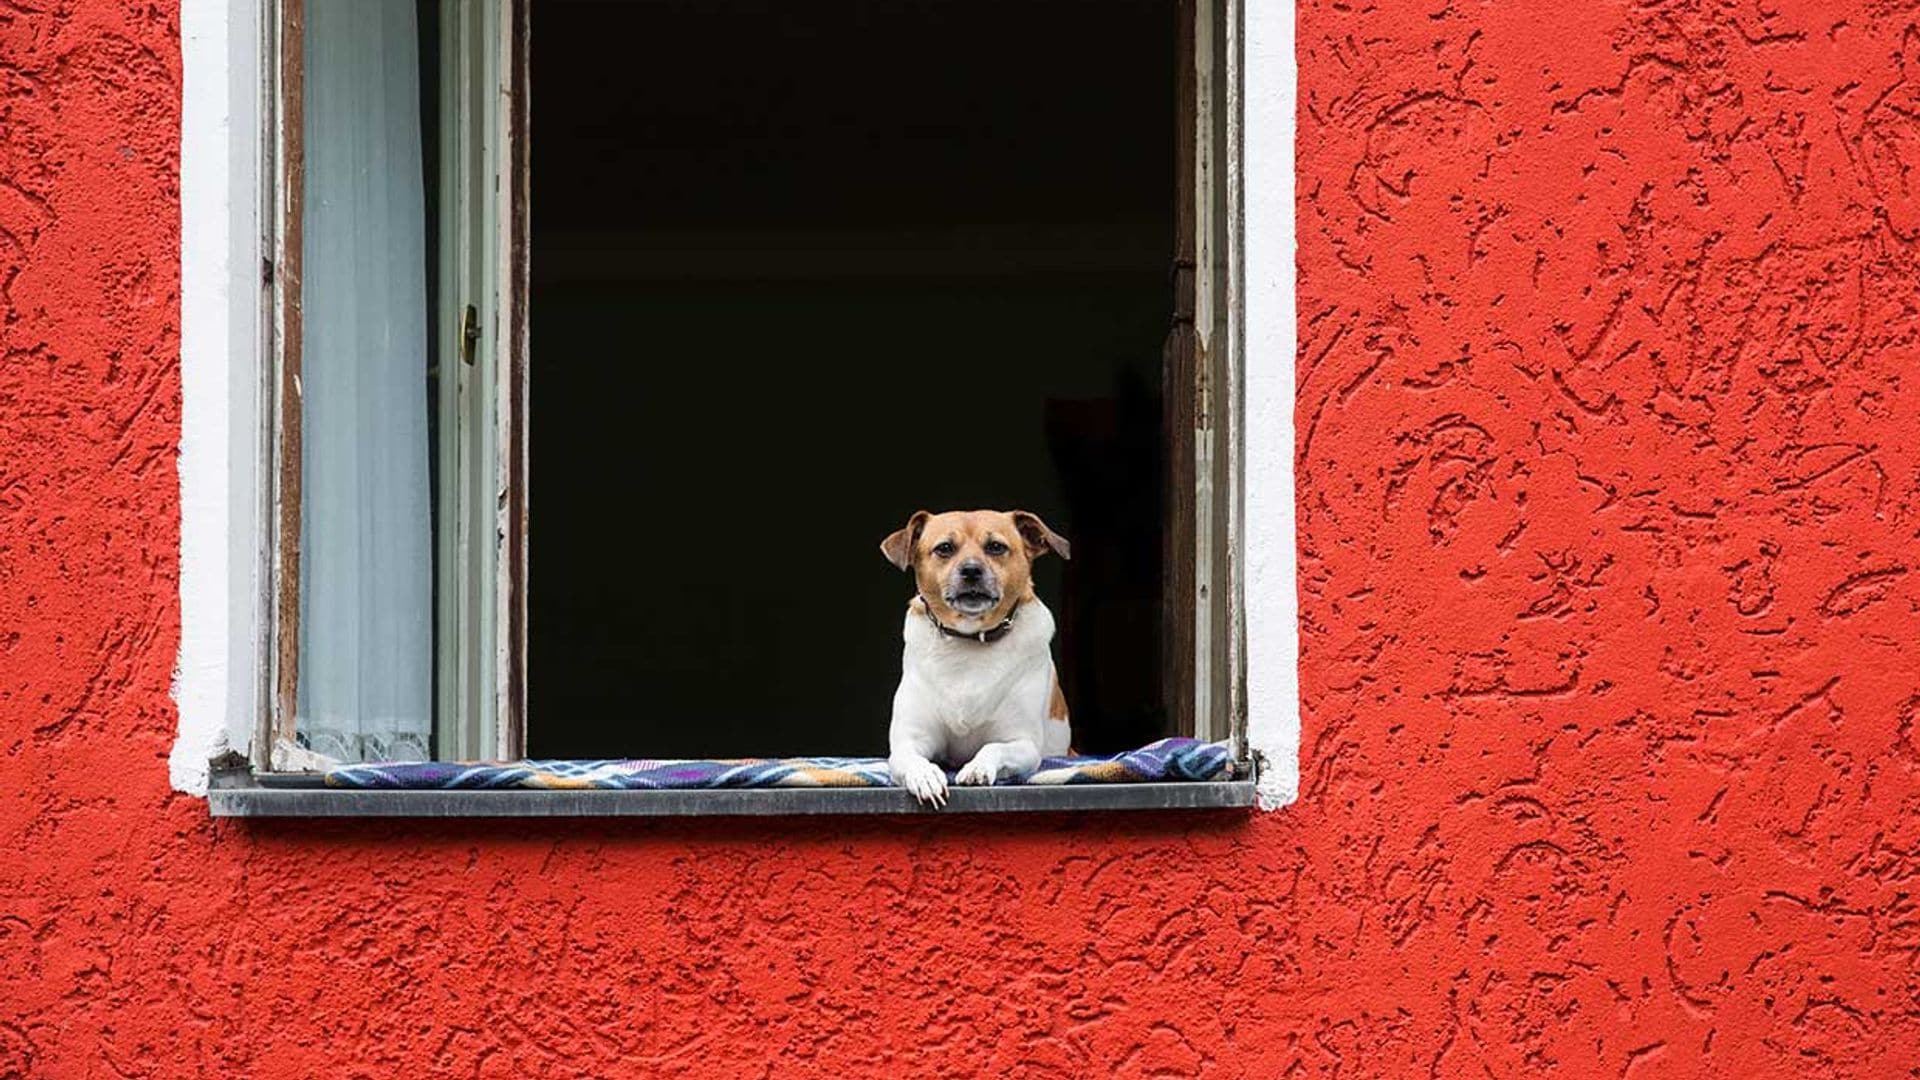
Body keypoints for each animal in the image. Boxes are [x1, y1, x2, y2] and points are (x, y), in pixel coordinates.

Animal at [879, 507, 1075, 803]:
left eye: (995, 547)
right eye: (945, 548)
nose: (971, 570)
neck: (969, 640)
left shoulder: (1023, 744)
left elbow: (994, 747)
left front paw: (978, 768)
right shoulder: (909, 742)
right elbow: (914, 760)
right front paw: (925, 777)